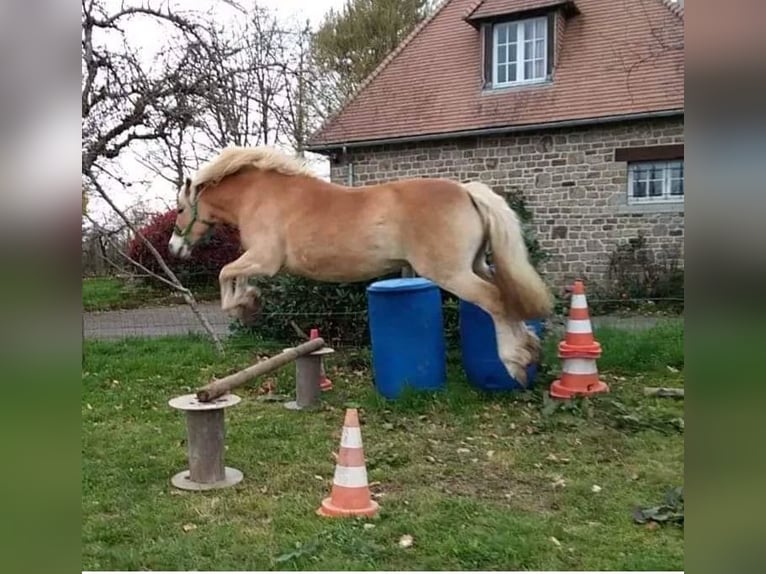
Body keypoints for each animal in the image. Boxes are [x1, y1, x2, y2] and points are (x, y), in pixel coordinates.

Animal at [170, 145, 552, 388]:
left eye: (179, 209)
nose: (174, 248)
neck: (261, 195)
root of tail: (466, 191)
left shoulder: (265, 258)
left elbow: (226, 274)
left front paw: (242, 305)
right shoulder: (260, 262)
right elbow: (237, 277)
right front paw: (249, 303)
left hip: (452, 274)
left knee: (494, 301)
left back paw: (515, 363)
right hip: (477, 265)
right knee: (507, 296)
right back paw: (530, 349)